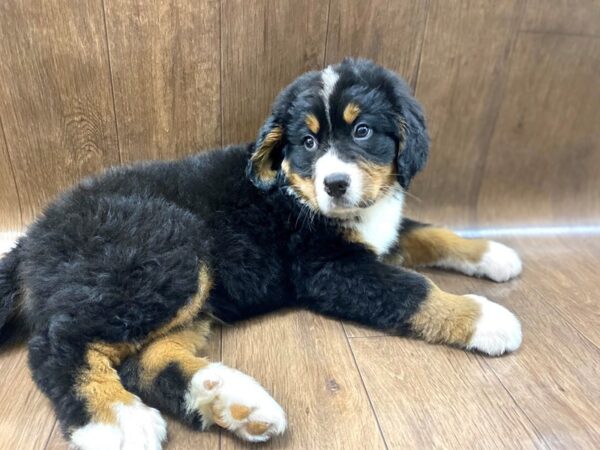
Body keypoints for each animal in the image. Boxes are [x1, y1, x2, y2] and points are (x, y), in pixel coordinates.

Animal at [0, 59, 520, 450]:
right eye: (307, 142)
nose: (335, 184)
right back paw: (116, 421)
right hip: (162, 253)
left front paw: (494, 253)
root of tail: (33, 238)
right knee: (59, 343)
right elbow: (414, 289)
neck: (296, 190)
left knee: (141, 361)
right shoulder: (329, 268)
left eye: (363, 131)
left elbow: (430, 233)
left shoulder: (378, 232)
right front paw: (487, 318)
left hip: (181, 287)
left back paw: (231, 400)